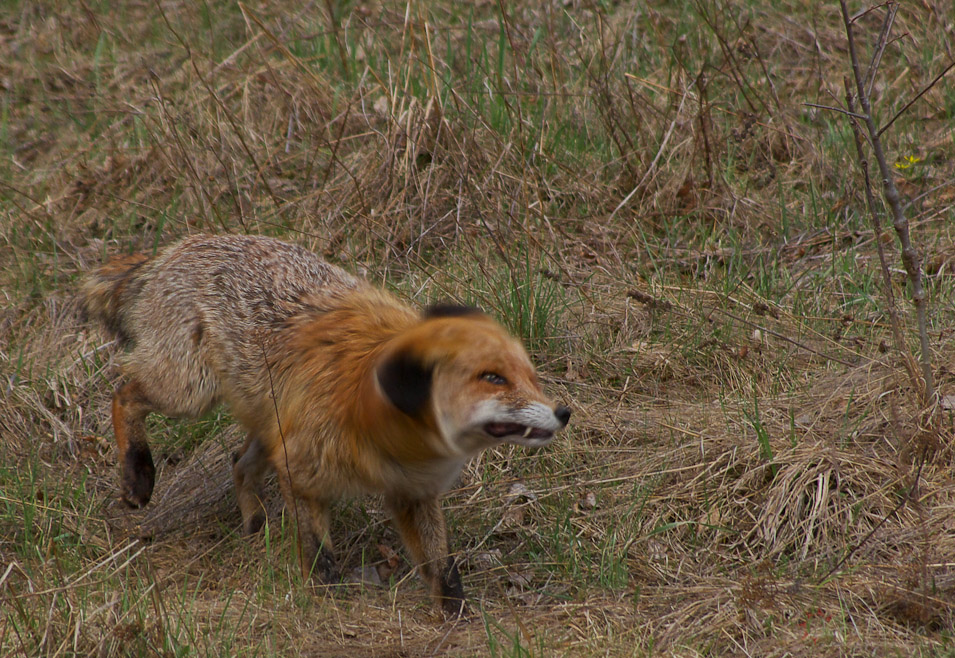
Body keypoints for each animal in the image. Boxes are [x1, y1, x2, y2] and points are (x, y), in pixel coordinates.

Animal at [82, 233, 568, 612]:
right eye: (493, 378)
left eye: (532, 377)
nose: (565, 412)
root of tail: (178, 246)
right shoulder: (301, 471)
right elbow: (320, 555)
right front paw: (324, 598)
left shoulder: (413, 492)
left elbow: (443, 566)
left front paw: (457, 617)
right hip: (189, 393)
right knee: (123, 392)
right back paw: (137, 473)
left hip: (268, 423)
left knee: (239, 462)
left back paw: (255, 523)